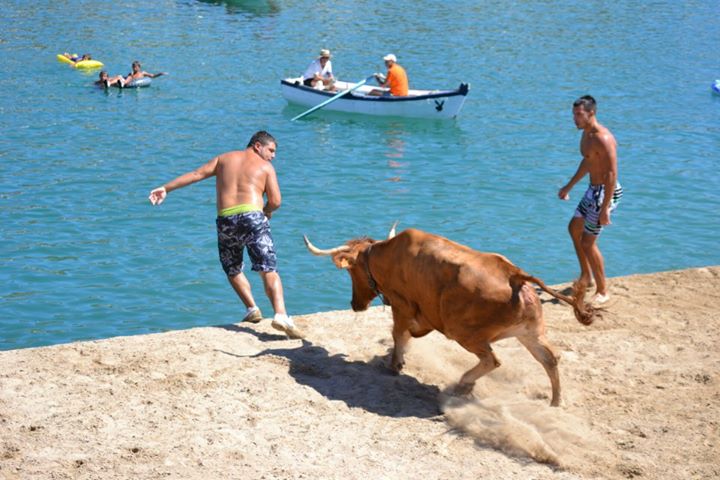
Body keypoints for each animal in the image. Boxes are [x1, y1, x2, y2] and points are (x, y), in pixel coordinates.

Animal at [303, 223, 599, 407]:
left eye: (351, 272)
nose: (355, 304)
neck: (387, 256)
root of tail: (515, 276)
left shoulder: (402, 305)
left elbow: (398, 334)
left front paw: (395, 364)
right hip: (531, 333)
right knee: (549, 359)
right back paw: (555, 401)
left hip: (466, 333)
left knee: (492, 360)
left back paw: (462, 385)